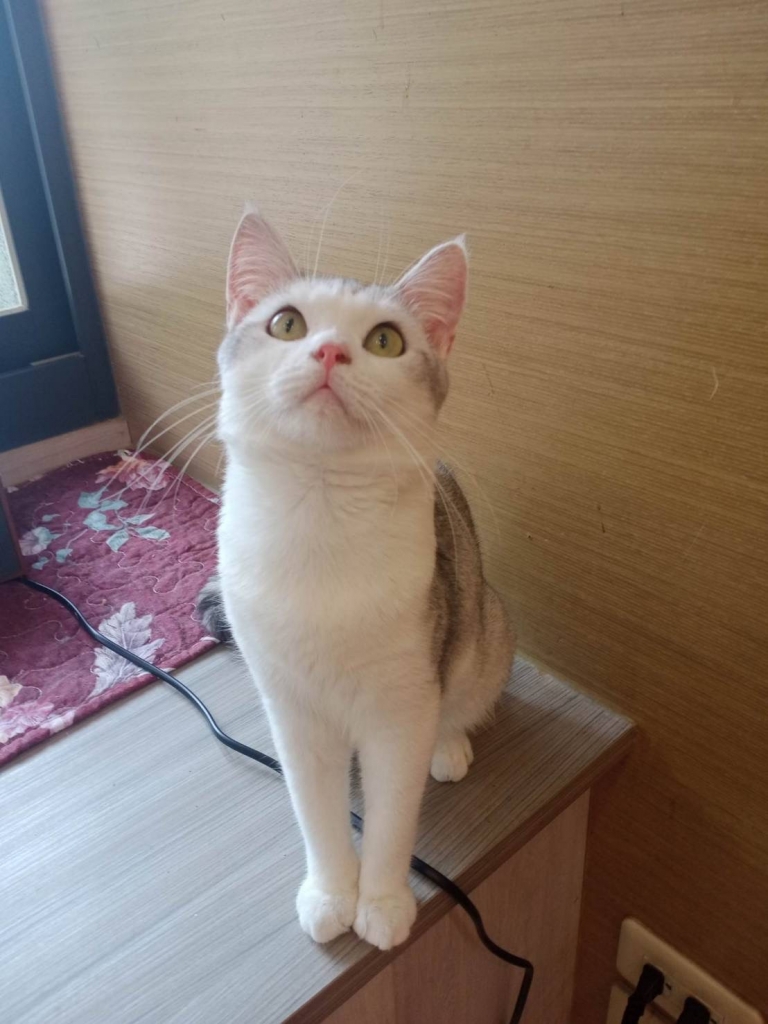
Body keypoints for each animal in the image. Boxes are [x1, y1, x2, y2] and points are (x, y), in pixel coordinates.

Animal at [198, 209, 515, 952]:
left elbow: (394, 813)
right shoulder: (291, 707)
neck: (321, 518)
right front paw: (331, 894)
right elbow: (315, 813)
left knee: (460, 698)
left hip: (483, 626)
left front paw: (383, 902)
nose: (330, 354)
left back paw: (449, 743)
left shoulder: (400, 706)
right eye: (287, 324)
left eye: (384, 341)